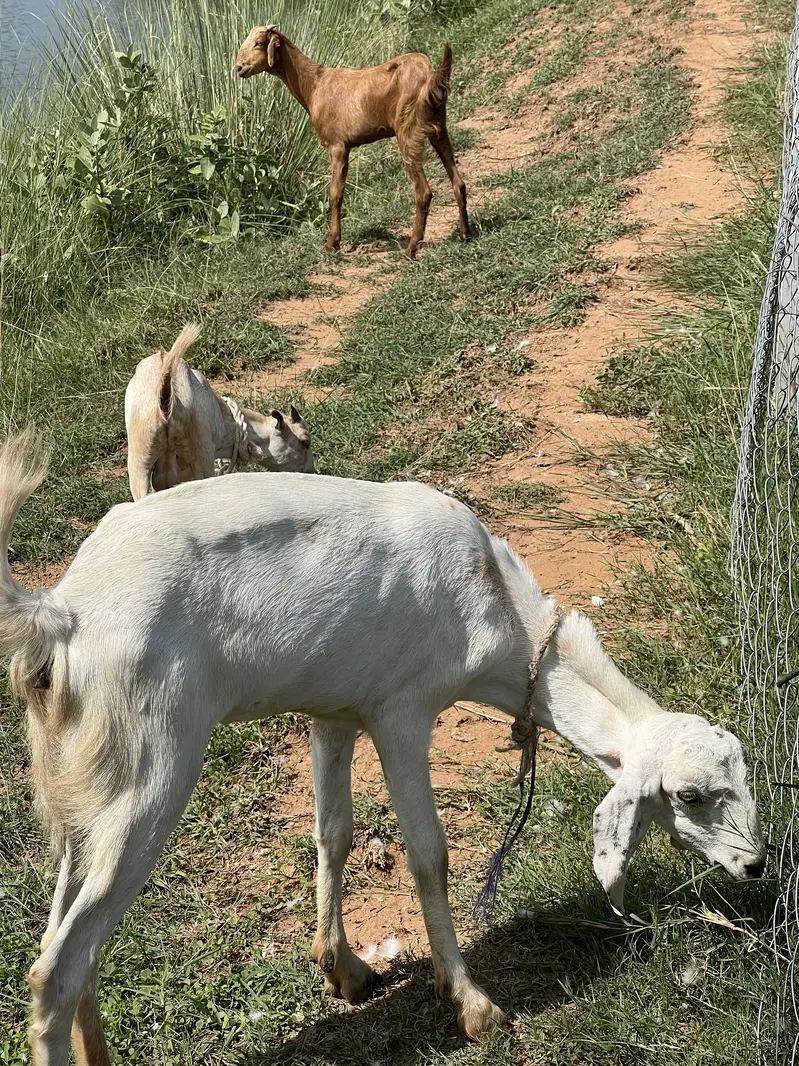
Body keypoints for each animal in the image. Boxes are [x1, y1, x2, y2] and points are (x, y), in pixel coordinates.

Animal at [0, 429, 764, 1063]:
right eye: (689, 795)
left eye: (743, 770)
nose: (755, 865)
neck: (497, 608)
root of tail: (59, 614)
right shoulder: (402, 711)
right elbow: (429, 855)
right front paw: (473, 1005)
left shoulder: (335, 710)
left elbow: (332, 832)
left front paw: (343, 969)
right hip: (152, 761)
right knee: (57, 964)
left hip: (87, 776)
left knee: (68, 933)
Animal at [235, 27, 470, 259]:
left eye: (258, 43)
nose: (238, 68)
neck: (314, 85)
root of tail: (431, 75)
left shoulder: (337, 145)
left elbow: (335, 194)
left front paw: (332, 242)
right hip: (439, 127)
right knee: (458, 182)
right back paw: (465, 234)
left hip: (408, 131)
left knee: (423, 192)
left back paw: (411, 249)